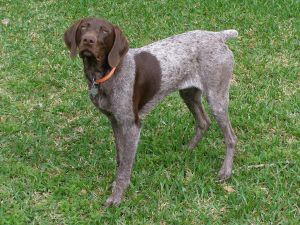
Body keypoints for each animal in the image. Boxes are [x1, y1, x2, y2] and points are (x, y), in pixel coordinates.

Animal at [64, 17, 238, 207]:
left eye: (105, 31)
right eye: (83, 27)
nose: (88, 40)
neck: (106, 74)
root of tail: (218, 36)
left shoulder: (132, 126)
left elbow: (125, 167)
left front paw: (117, 196)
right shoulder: (115, 121)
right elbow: (120, 158)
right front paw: (116, 185)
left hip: (216, 99)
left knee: (231, 138)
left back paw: (226, 171)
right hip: (188, 93)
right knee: (204, 122)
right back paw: (188, 149)